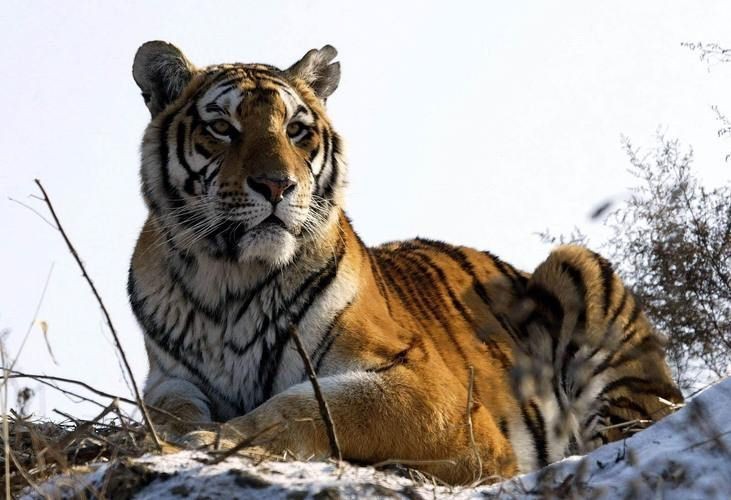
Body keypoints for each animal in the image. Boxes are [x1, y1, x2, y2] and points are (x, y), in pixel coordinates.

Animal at [127, 41, 683, 484]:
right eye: (222, 127)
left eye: (297, 130)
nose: (276, 185)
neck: (231, 277)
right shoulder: (169, 378)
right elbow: (168, 409)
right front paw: (182, 434)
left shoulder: (425, 386)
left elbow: (308, 406)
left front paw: (214, 440)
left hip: (579, 272)